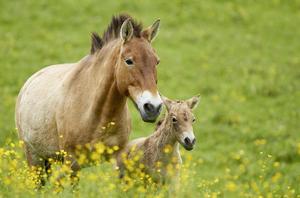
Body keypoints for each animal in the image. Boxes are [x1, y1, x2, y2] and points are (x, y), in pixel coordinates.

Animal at [15, 13, 163, 175]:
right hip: (35, 160)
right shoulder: (72, 162)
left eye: (157, 62)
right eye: (129, 61)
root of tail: (30, 81)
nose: (153, 107)